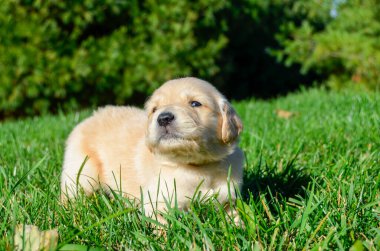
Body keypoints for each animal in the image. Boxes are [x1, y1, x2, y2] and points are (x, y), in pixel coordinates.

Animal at [59, 76, 243, 220]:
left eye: (195, 103)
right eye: (154, 109)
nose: (164, 118)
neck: (197, 167)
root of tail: (89, 117)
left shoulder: (228, 197)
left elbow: (234, 217)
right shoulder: (157, 202)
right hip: (81, 172)